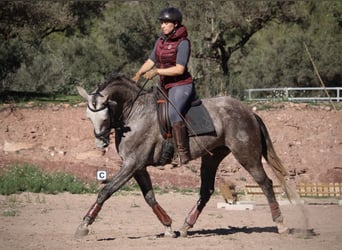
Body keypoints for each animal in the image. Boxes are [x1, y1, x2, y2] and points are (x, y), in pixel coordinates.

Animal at [76, 73, 296, 238]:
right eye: (88, 117)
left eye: (105, 117)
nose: (100, 143)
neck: (134, 113)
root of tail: (249, 112)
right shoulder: (137, 167)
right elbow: (149, 196)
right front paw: (168, 226)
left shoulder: (132, 164)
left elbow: (106, 191)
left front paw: (84, 224)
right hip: (212, 157)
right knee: (206, 191)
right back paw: (185, 226)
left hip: (246, 155)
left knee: (265, 183)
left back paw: (281, 224)